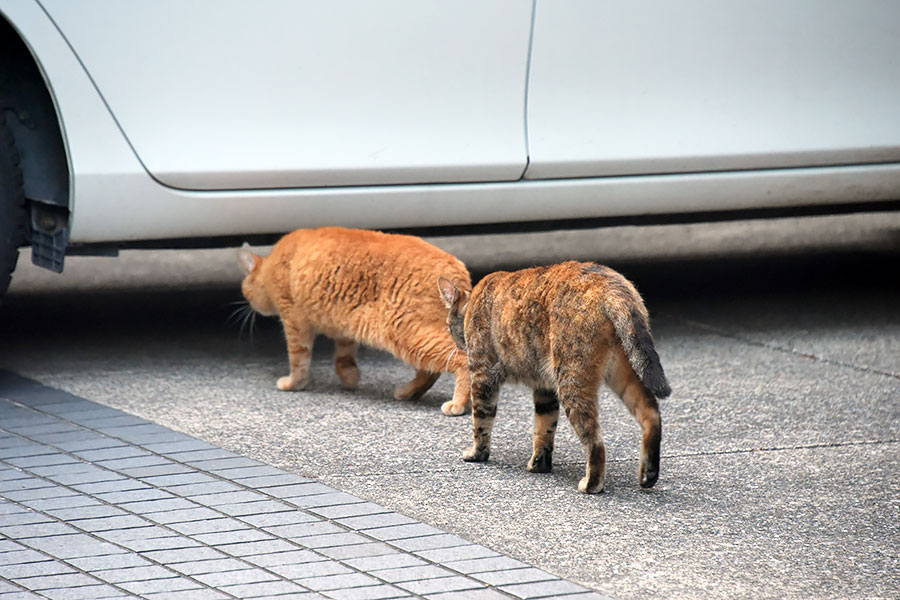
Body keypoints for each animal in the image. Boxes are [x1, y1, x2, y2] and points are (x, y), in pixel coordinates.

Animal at [236, 227, 474, 414]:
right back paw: (408, 392)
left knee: (461, 361)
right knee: (430, 371)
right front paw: (350, 377)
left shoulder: (293, 321)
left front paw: (293, 383)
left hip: (407, 333)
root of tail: (457, 269)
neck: (273, 265)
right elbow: (344, 356)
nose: (248, 305)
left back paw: (458, 403)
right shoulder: (345, 325)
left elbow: (298, 359)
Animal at [440, 262, 672, 492]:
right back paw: (648, 475)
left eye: (448, 326)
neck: (473, 303)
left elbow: (481, 421)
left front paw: (477, 454)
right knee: (651, 415)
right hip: (627, 370)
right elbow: (544, 427)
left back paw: (591, 484)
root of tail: (611, 285)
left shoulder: (482, 376)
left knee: (595, 441)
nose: (455, 342)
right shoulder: (544, 388)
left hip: (572, 379)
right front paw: (540, 465)